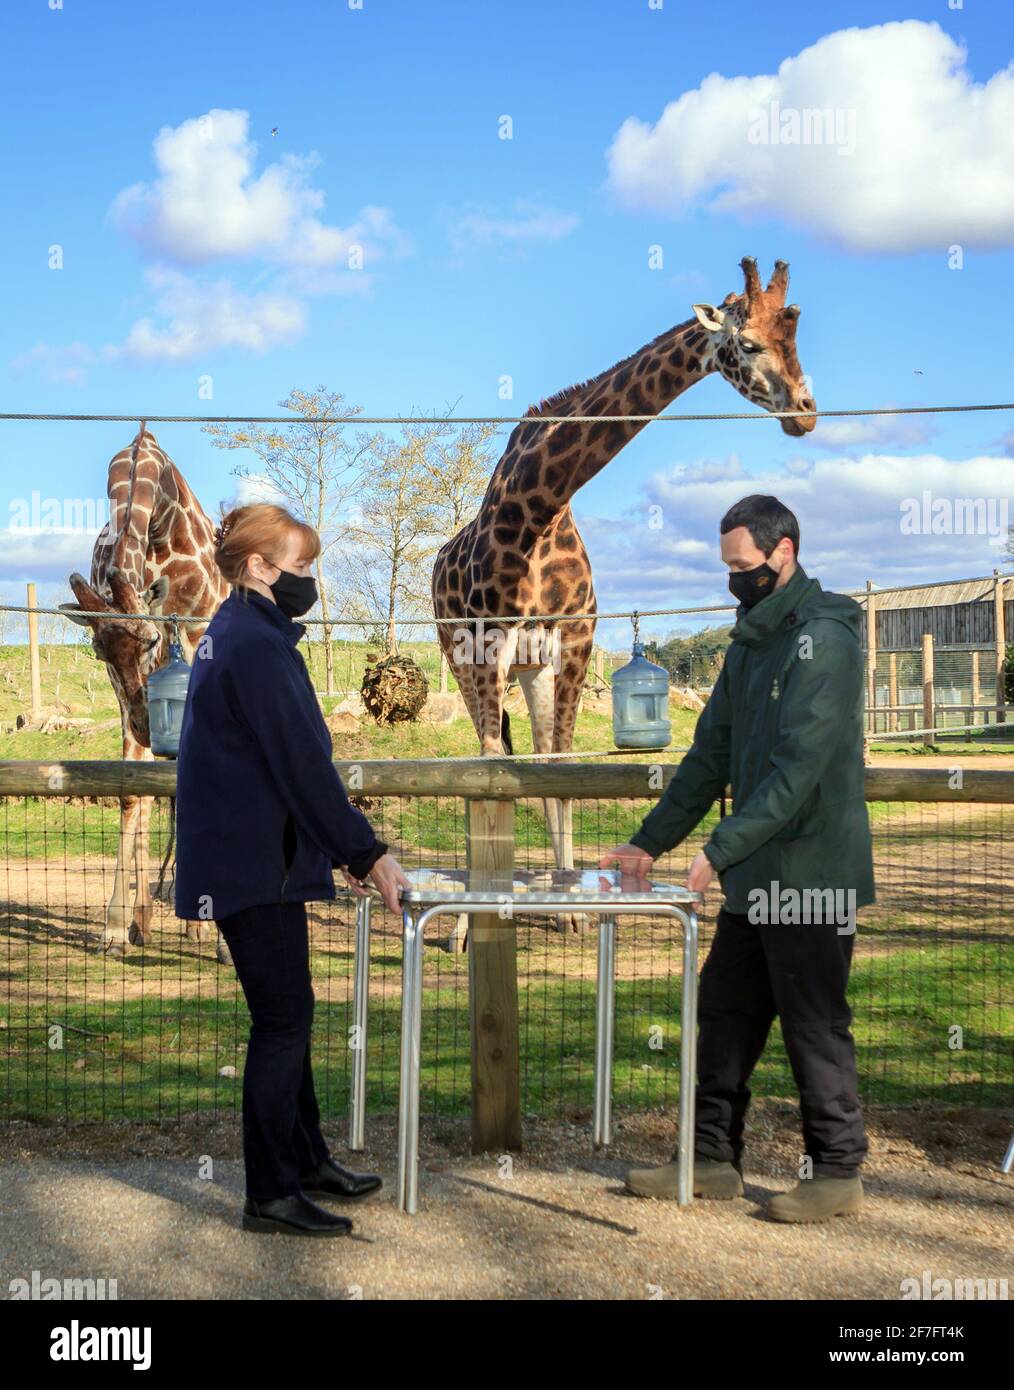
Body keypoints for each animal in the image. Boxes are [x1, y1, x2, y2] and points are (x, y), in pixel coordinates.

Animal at [59, 428, 229, 961]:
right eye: (99, 652)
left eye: (152, 639)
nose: (144, 724)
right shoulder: (123, 689)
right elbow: (133, 789)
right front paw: (116, 927)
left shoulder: (198, 642)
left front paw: (218, 937)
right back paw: (146, 920)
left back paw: (195, 924)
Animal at [433, 257, 812, 917]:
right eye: (748, 343)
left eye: (795, 337)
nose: (806, 411)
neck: (542, 509)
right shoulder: (489, 640)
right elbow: (491, 763)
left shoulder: (575, 636)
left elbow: (558, 764)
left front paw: (568, 899)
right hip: (457, 653)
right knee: (487, 745)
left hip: (531, 666)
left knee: (532, 747)